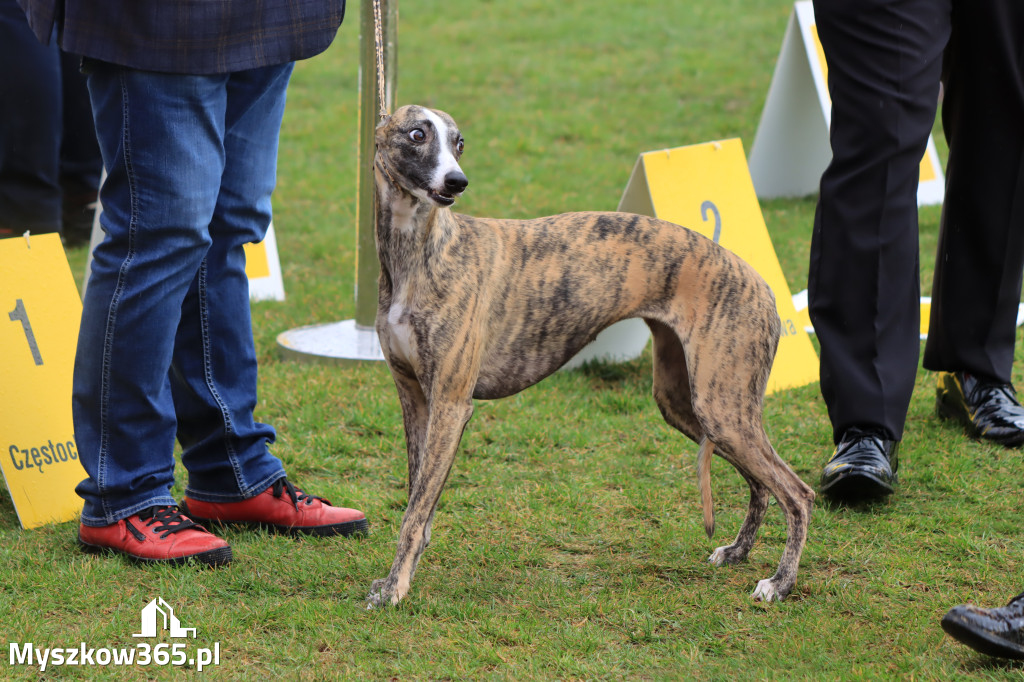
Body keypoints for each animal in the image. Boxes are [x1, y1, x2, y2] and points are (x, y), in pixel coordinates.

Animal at [368, 102, 815, 606]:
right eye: (417, 134)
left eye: (459, 143)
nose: (457, 181)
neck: (424, 251)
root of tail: (763, 284)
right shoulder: (413, 397)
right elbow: (417, 497)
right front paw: (400, 575)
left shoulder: (450, 403)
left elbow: (415, 510)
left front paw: (395, 587)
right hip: (687, 403)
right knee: (762, 483)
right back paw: (738, 551)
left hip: (723, 407)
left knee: (798, 493)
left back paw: (780, 582)